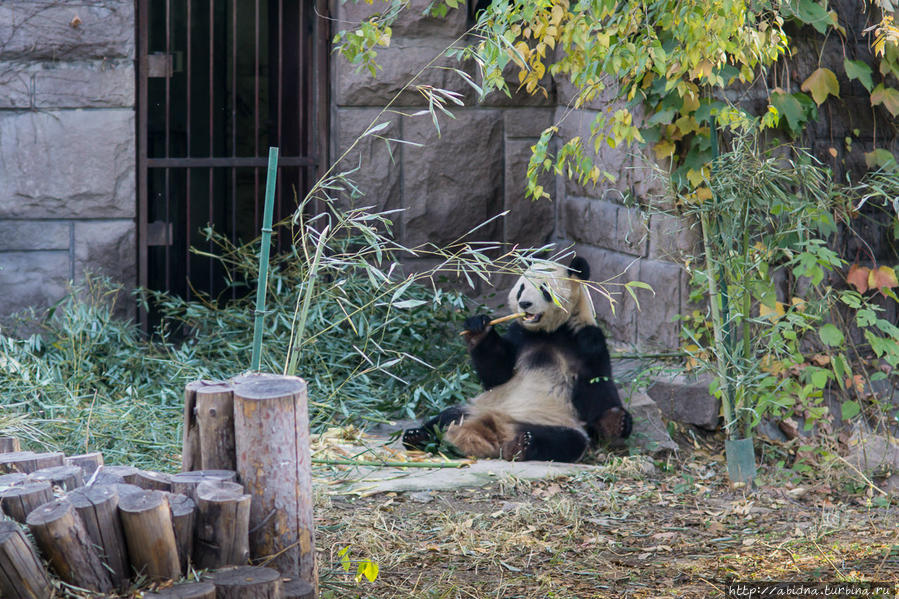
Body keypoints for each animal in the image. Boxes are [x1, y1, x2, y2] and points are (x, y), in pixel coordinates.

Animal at [404, 255, 628, 462]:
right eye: (521, 288)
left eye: (544, 289)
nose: (524, 303)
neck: (549, 332)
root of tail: (498, 430)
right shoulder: (519, 335)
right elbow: (497, 374)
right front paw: (478, 329)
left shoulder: (586, 339)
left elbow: (596, 385)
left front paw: (615, 421)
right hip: (476, 408)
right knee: (448, 416)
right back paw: (416, 436)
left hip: (553, 420)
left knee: (566, 441)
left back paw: (522, 445)